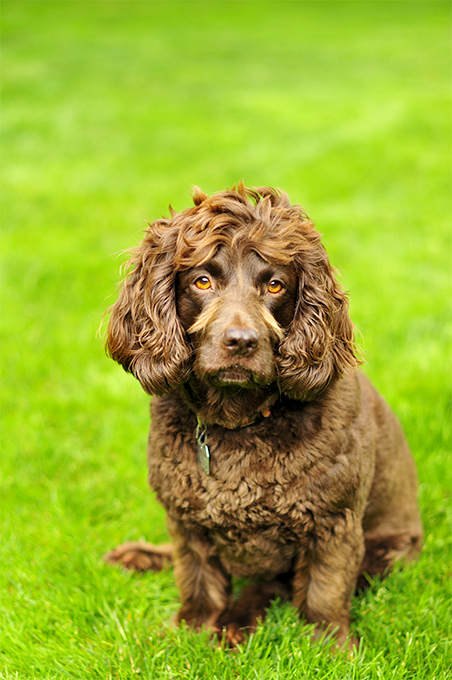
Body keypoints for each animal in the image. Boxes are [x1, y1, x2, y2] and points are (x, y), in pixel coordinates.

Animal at [104, 185, 422, 648]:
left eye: (274, 284)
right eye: (202, 280)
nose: (241, 341)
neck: (238, 424)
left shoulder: (333, 522)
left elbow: (324, 590)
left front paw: (330, 647)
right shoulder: (186, 519)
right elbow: (196, 577)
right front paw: (191, 628)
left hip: (389, 548)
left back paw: (237, 621)